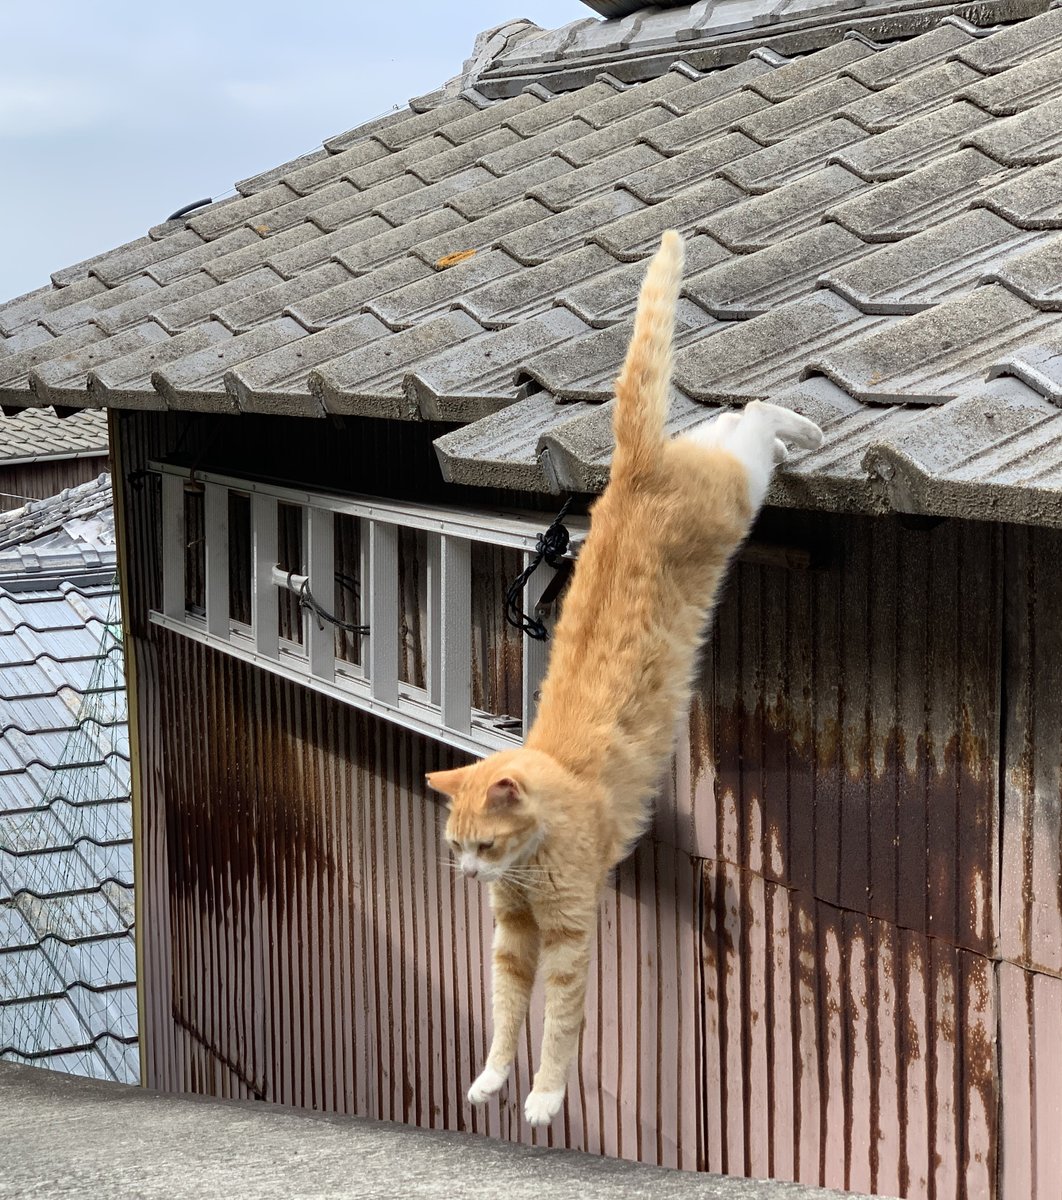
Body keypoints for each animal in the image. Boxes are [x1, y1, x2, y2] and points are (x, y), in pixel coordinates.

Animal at [427, 226, 825, 1123]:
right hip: (719, 467)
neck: (528, 860)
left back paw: (808, 428)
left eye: (482, 844)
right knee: (729, 416)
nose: (464, 876)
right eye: (457, 846)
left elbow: (559, 1026)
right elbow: (505, 1014)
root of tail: (632, 465)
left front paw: (543, 1098)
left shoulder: (571, 934)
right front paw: (490, 1080)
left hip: (736, 492)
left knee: (754, 415)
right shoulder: (511, 939)